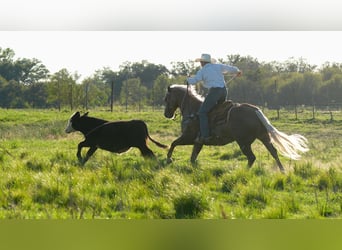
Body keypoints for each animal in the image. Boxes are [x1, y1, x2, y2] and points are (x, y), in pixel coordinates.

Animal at [164, 84, 310, 172]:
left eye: (166, 98)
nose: (167, 114)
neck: (193, 111)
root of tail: (254, 110)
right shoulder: (198, 142)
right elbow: (193, 156)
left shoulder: (188, 137)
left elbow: (174, 143)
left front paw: (169, 159)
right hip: (263, 137)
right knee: (273, 152)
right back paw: (282, 171)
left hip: (243, 142)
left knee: (251, 157)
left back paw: (243, 172)